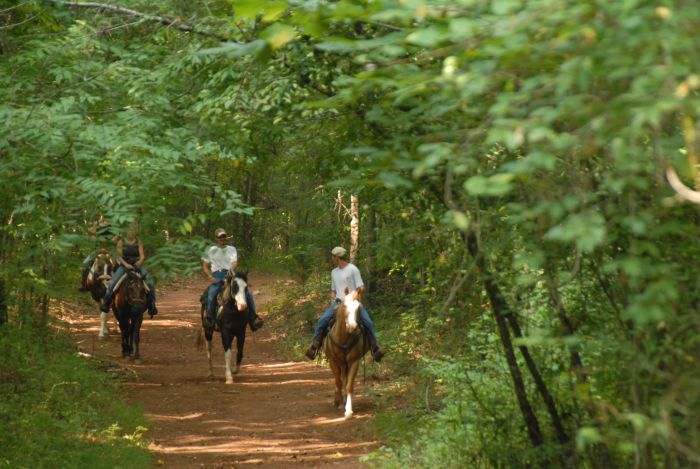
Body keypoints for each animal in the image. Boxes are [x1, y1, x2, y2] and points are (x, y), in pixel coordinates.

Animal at [322, 288, 370, 416]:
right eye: (344, 306)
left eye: (358, 307)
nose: (352, 327)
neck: (343, 338)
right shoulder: (333, 361)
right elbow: (338, 382)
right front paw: (339, 403)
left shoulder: (354, 362)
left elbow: (348, 385)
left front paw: (348, 409)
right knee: (339, 380)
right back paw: (337, 400)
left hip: (345, 364)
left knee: (344, 379)